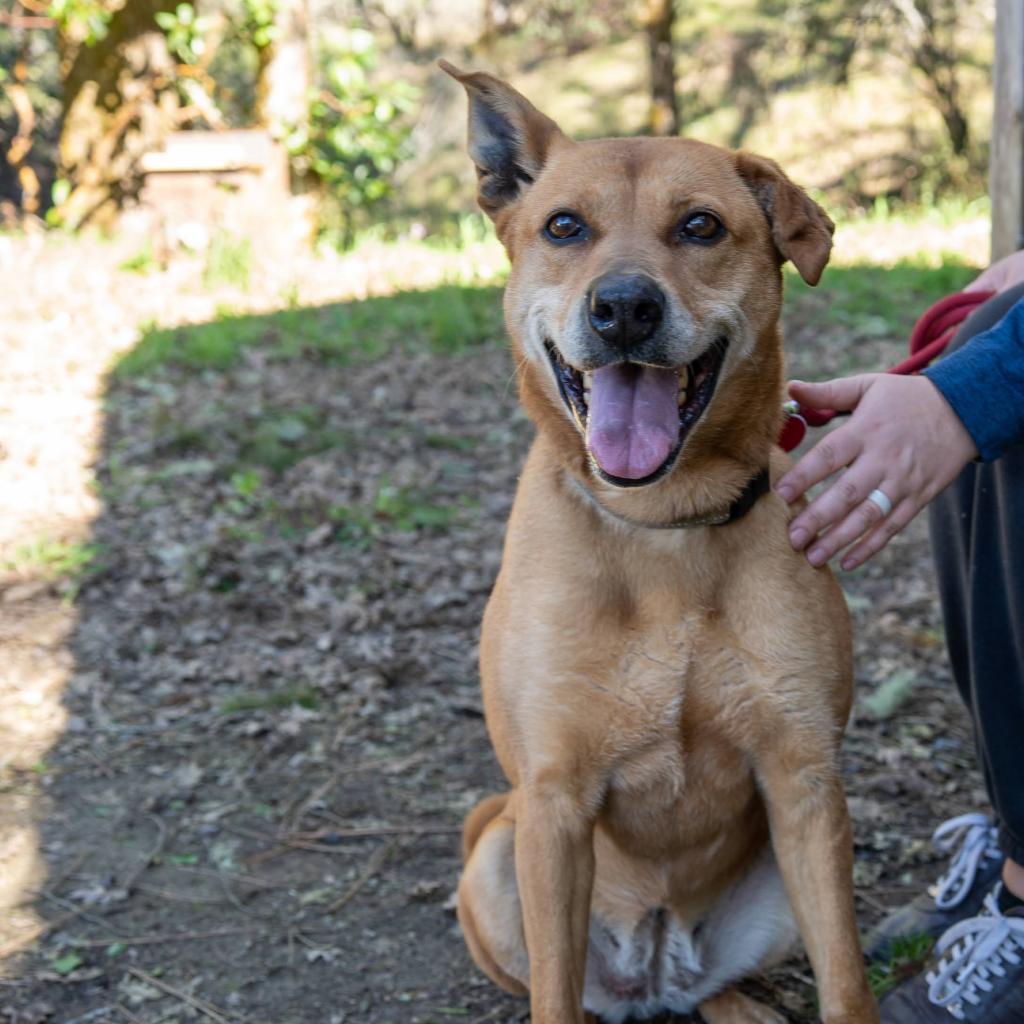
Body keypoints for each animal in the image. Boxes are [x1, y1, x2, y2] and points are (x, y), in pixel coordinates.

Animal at [440, 64, 880, 1024]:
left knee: (710, 988)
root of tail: (655, 962)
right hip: (496, 847)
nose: (625, 308)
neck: (663, 531)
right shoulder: (553, 802)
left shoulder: (805, 785)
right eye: (564, 226)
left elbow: (846, 982)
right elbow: (554, 997)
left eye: (701, 226)